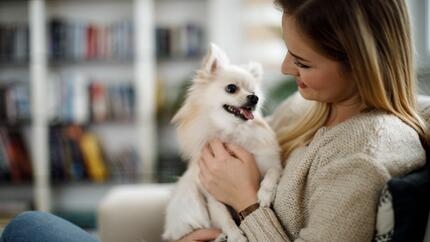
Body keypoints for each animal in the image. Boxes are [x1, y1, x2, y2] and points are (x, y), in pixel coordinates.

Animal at [162, 44, 282, 242]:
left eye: (254, 92)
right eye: (231, 88)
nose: (254, 98)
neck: (232, 131)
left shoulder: (271, 164)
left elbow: (273, 173)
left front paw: (265, 194)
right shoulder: (212, 195)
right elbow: (223, 216)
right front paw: (235, 235)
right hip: (191, 195)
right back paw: (220, 237)